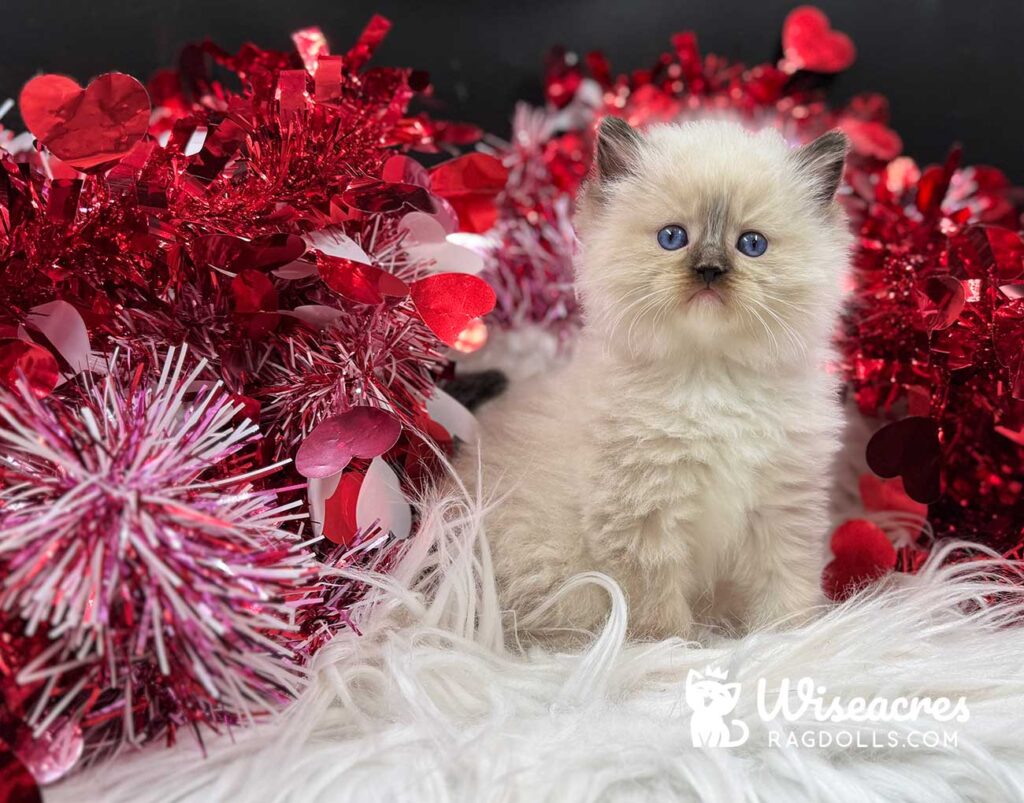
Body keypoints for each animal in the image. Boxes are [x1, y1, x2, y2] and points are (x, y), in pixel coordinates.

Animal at [460, 119, 851, 643]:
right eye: (672, 237)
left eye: (752, 244)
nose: (709, 271)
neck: (711, 380)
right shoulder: (643, 518)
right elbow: (657, 614)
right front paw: (676, 652)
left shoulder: (782, 510)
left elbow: (783, 592)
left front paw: (787, 641)